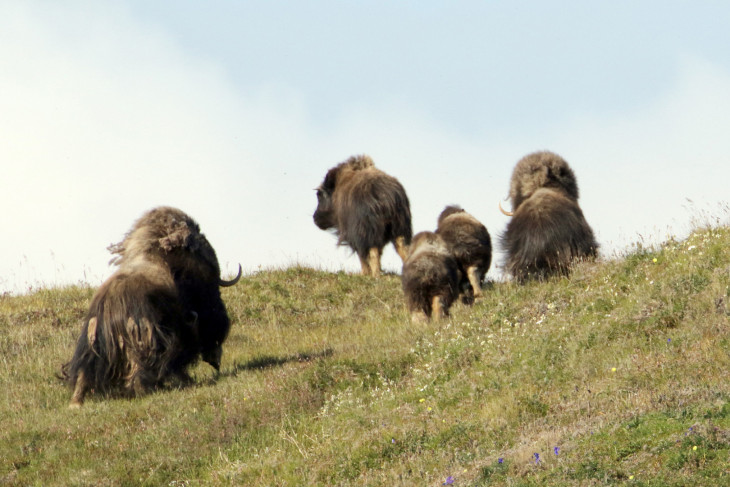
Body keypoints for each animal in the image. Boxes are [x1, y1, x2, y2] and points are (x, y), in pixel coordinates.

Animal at [61, 206, 240, 408]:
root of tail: (109, 308)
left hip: (92, 343)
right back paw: (149, 390)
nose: (215, 361)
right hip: (141, 337)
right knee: (140, 367)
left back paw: (76, 402)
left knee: (85, 372)